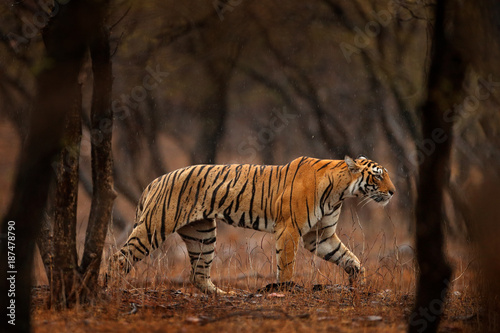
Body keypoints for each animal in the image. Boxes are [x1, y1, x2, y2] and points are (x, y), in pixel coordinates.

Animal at [111, 156, 396, 294]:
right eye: (378, 176)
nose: (393, 192)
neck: (341, 192)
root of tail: (155, 181)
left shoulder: (320, 236)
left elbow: (351, 259)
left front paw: (359, 284)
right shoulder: (289, 230)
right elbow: (287, 266)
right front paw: (286, 291)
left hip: (203, 234)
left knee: (198, 275)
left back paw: (225, 295)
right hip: (154, 227)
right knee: (118, 258)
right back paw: (107, 290)